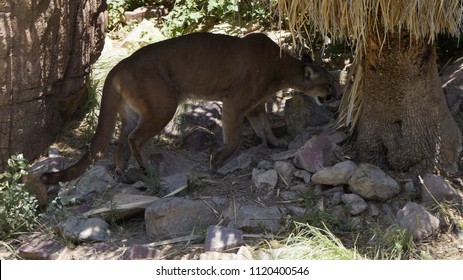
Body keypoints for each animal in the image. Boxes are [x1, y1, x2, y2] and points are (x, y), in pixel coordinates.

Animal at [40, 32, 336, 185]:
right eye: (328, 83)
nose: (335, 95)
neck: (281, 67)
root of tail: (118, 66)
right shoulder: (234, 103)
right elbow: (234, 139)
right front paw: (217, 161)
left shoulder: (254, 107)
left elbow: (264, 127)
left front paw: (275, 143)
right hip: (163, 104)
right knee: (135, 139)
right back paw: (147, 169)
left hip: (132, 113)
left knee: (120, 142)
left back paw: (123, 172)